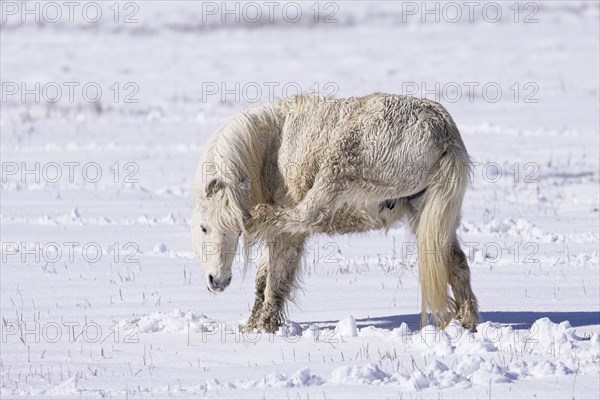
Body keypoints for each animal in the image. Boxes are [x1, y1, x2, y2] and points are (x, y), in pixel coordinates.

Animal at [190, 92, 480, 332]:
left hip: (338, 169)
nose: (218, 281)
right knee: (455, 260)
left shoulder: (287, 236)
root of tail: (441, 130)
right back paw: (468, 320)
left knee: (308, 214)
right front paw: (251, 326)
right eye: (204, 228)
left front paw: (265, 327)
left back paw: (258, 215)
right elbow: (263, 278)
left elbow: (276, 277)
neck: (269, 147)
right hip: (425, 212)